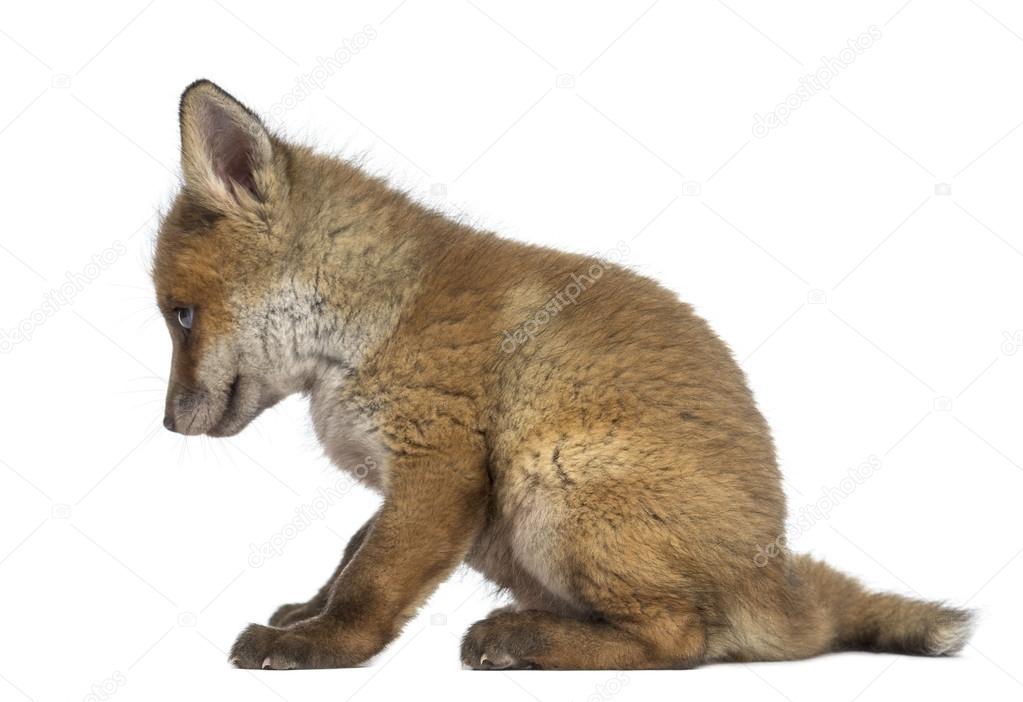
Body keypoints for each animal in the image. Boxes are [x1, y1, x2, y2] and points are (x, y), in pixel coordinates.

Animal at [153, 81, 973, 671]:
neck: (370, 321)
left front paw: (318, 645)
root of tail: (781, 582)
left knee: (681, 641)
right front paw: (306, 612)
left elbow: (372, 578)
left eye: (181, 316)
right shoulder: (410, 483)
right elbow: (351, 554)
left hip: (551, 483)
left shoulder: (440, 466)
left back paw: (524, 641)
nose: (165, 423)